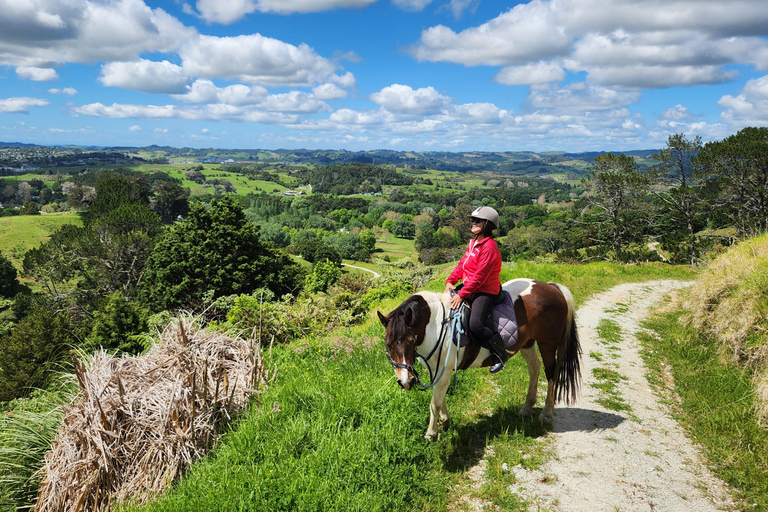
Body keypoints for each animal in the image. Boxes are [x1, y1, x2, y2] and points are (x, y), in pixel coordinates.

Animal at [377, 278, 581, 440]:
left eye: (411, 340)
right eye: (388, 344)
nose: (406, 382)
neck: (436, 324)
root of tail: (552, 287)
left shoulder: (444, 368)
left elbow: (435, 402)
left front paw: (431, 433)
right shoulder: (436, 369)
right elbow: (440, 398)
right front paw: (445, 420)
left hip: (548, 343)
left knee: (551, 372)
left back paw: (546, 413)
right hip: (527, 343)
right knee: (534, 368)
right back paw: (527, 407)